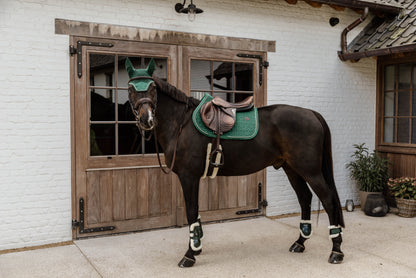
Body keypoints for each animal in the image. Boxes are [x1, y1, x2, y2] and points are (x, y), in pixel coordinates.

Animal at [126, 62, 344, 266]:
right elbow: (195, 212)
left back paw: (336, 251)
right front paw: (197, 248)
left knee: (328, 199)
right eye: (130, 89)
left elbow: (191, 211)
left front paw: (190, 255)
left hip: (310, 171)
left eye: (152, 88)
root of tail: (311, 113)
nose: (146, 119)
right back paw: (300, 242)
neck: (181, 123)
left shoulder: (189, 177)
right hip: (292, 169)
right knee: (305, 198)